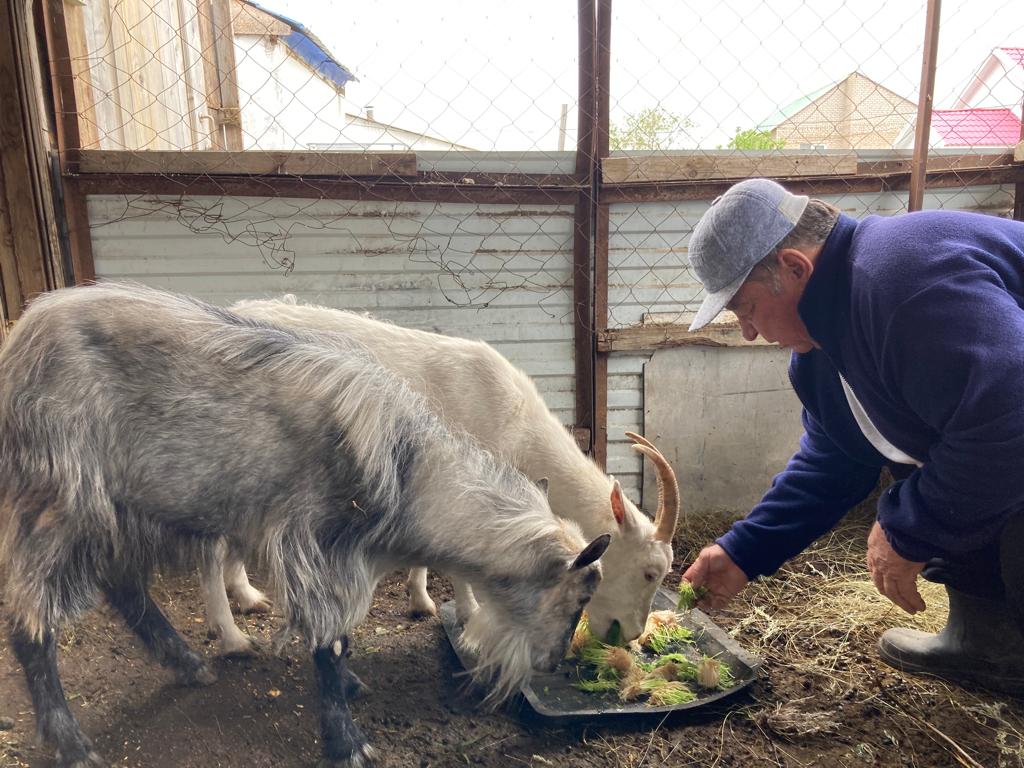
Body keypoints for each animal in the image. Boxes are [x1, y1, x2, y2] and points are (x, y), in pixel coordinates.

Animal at [0, 284, 606, 768]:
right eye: (579, 596)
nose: (554, 662)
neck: (408, 472)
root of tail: (23, 334)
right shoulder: (315, 546)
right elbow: (329, 641)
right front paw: (348, 743)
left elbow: (342, 636)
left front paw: (352, 687)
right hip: (61, 494)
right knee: (32, 615)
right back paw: (73, 742)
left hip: (129, 508)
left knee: (124, 584)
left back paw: (188, 663)